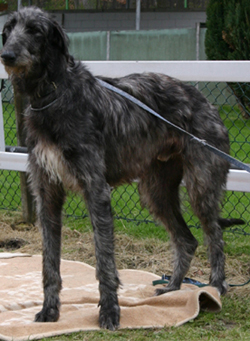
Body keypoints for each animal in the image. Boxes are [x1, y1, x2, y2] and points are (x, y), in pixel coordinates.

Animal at [0, 5, 242, 330]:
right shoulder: (46, 192)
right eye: (8, 29)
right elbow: (49, 261)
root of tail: (205, 101)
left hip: (201, 184)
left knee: (214, 234)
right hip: (156, 190)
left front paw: (109, 312)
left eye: (35, 30)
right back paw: (173, 288)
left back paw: (216, 286)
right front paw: (50, 310)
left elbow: (104, 260)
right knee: (187, 239)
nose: (7, 56)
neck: (53, 93)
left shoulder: (96, 188)